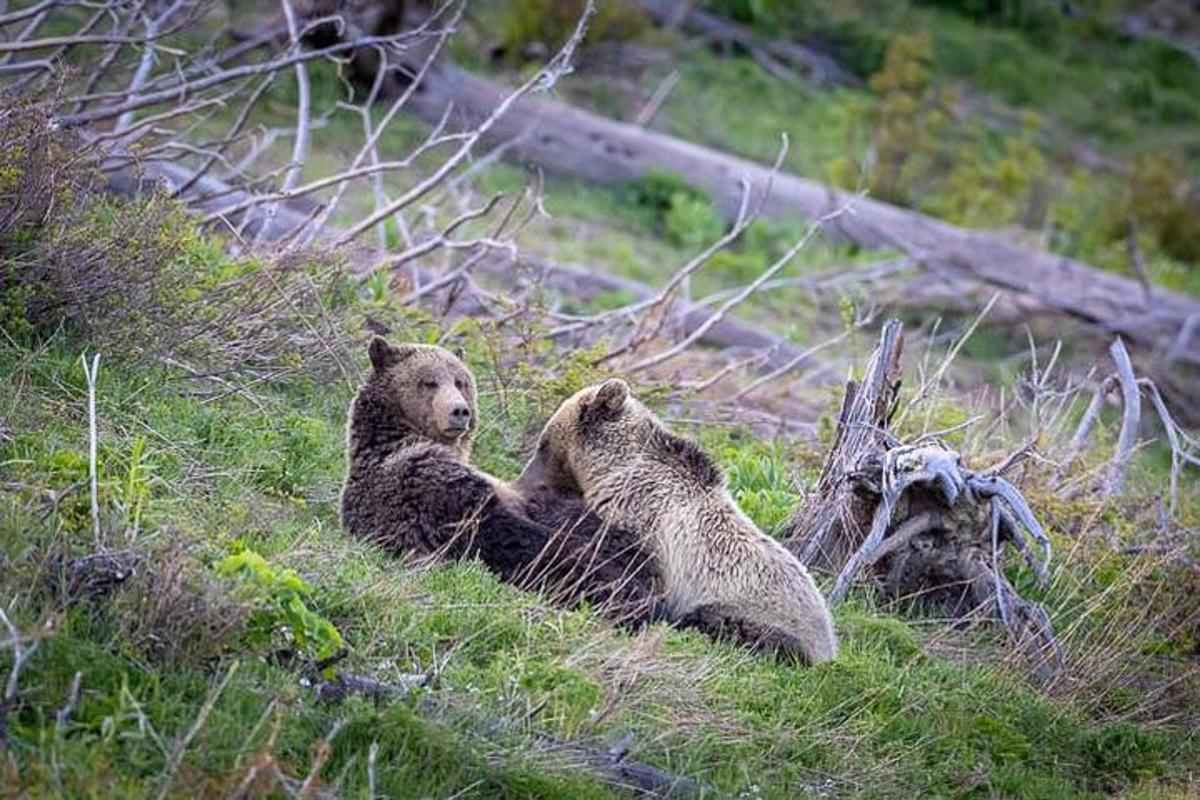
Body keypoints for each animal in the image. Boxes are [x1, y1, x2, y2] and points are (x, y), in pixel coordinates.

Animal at [338, 338, 662, 623]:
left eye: (460, 381)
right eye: (428, 381)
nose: (460, 411)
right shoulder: (428, 485)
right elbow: (513, 536)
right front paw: (628, 587)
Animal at [520, 379, 840, 666]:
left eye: (543, 444)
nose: (525, 478)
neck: (611, 469)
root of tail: (828, 645)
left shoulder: (646, 518)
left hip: (755, 614)